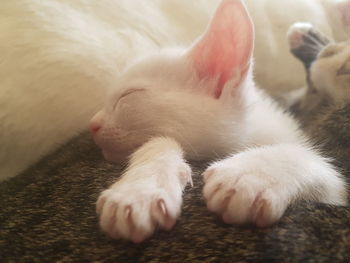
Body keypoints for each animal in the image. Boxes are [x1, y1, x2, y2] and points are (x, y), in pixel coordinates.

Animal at [91, 0, 348, 243]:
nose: (92, 124)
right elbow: (160, 141)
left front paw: (250, 177)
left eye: (127, 95)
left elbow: (312, 162)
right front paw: (140, 189)